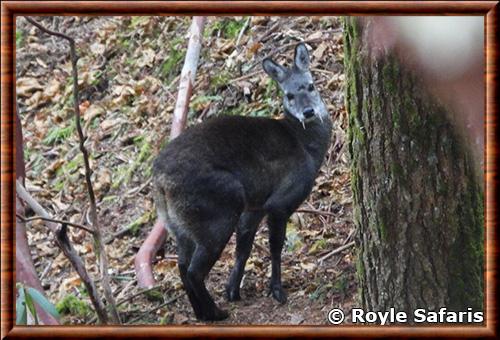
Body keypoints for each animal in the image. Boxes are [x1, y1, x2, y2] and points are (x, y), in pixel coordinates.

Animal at [152, 43, 332, 322]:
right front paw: (277, 291)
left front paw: (232, 290)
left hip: (179, 224)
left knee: (181, 266)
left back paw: (202, 312)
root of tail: (160, 181)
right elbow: (275, 246)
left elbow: (243, 247)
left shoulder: (255, 206)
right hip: (219, 209)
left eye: (311, 85)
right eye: (289, 95)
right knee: (194, 270)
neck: (308, 148)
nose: (309, 112)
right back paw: (215, 313)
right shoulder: (280, 201)